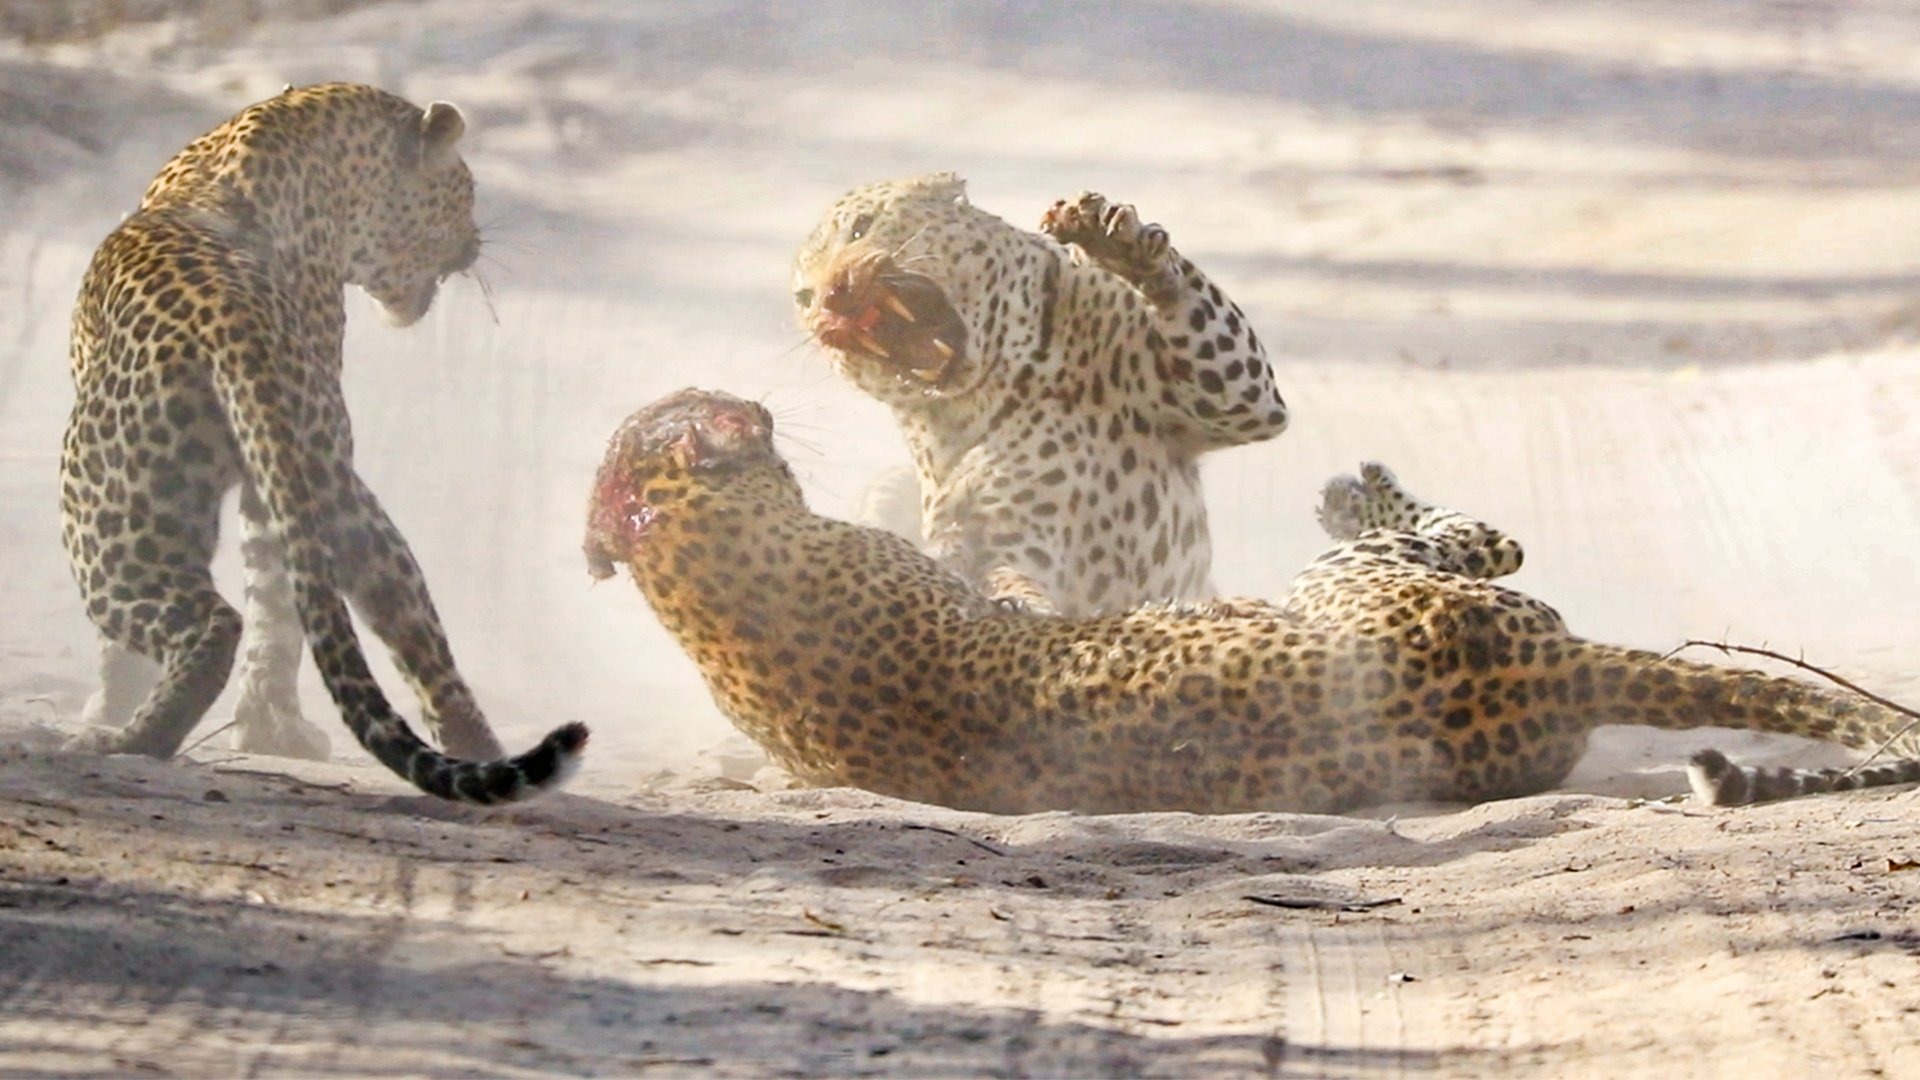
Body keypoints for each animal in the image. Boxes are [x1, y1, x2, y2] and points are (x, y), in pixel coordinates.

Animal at [60, 82, 585, 803]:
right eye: (466, 192)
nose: (475, 242)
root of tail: (231, 320)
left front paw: (115, 705)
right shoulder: (276, 478)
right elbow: (280, 599)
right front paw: (270, 730)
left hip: (108, 507)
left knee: (215, 623)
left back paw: (131, 740)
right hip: (330, 484)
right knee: (407, 616)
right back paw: (475, 747)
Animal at [584, 387, 1920, 814]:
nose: (753, 402)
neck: (694, 579)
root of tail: (1560, 670)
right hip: (1371, 583)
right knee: (1483, 535)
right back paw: (1354, 488)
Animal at [792, 173, 1289, 616]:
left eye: (862, 227)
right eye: (802, 297)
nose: (830, 301)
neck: (1026, 374)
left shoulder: (1243, 398)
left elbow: (1184, 298)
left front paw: (1111, 240)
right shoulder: (1000, 531)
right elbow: (999, 570)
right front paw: (1014, 603)